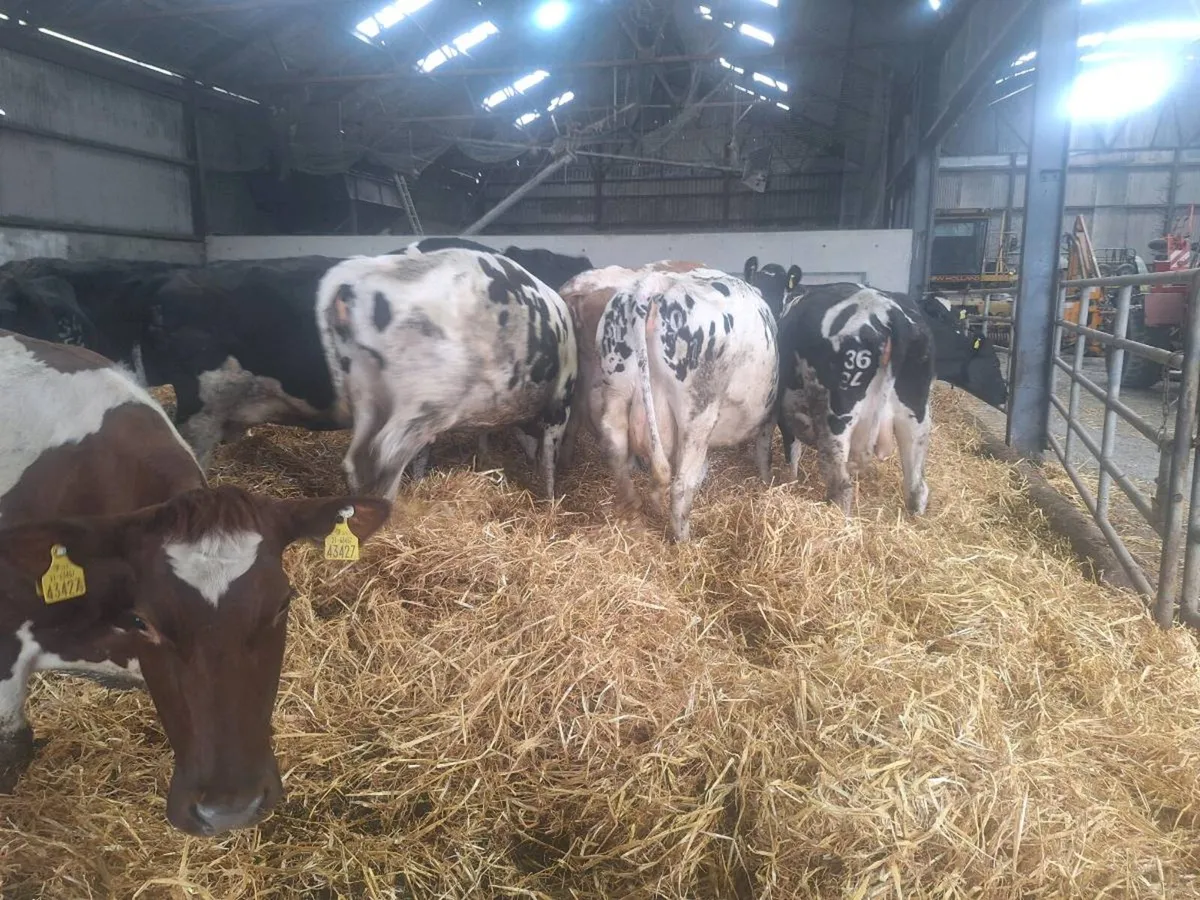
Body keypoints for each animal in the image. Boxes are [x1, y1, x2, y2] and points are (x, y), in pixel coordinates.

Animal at [315, 248, 577, 501]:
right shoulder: (561, 404)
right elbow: (549, 459)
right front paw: (550, 501)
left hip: (365, 399)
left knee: (355, 464)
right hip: (417, 409)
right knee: (386, 461)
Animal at [595, 269, 778, 542]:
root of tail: (657, 283)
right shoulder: (769, 417)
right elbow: (764, 453)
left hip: (616, 387)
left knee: (615, 444)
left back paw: (631, 508)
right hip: (698, 414)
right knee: (681, 485)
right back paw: (684, 541)